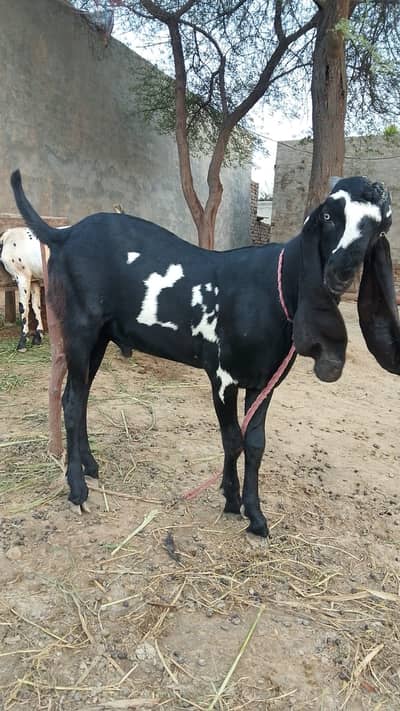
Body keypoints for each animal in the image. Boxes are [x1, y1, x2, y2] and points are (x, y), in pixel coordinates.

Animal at [11, 170, 400, 536]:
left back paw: (90, 467)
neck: (274, 290)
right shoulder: (223, 376)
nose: (340, 272)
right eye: (329, 215)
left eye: (380, 225)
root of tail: (63, 235)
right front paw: (231, 500)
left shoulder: (264, 383)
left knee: (79, 398)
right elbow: (232, 439)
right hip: (79, 329)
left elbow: (255, 444)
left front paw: (255, 516)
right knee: (72, 401)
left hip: (101, 338)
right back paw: (77, 490)